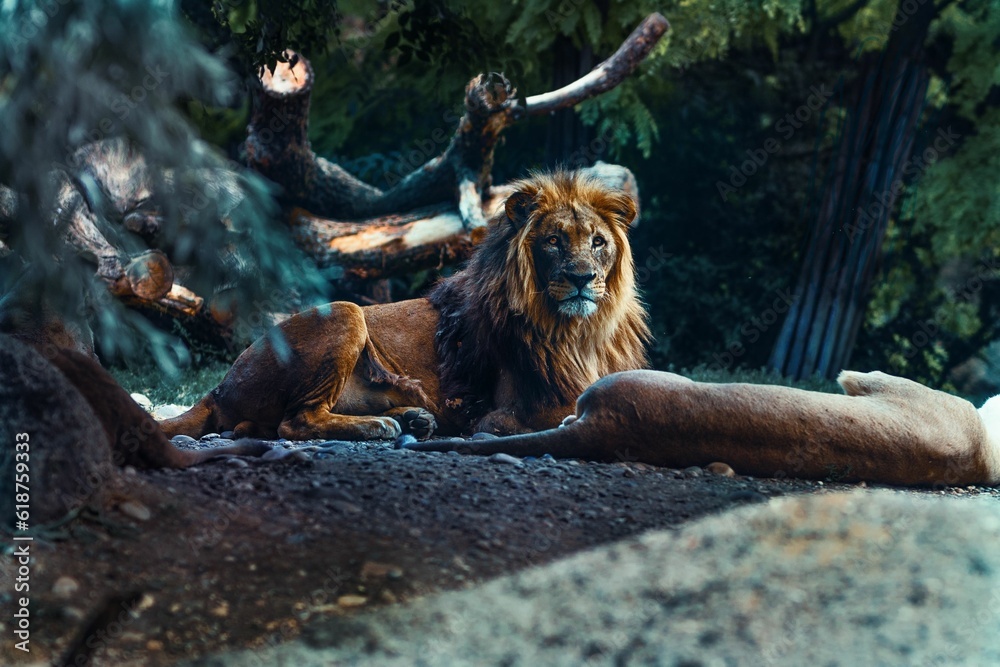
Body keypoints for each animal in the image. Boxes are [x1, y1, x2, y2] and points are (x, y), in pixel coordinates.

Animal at [158, 171, 651, 441]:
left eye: (598, 242)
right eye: (553, 241)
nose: (582, 278)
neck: (578, 332)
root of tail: (219, 386)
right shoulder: (505, 408)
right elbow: (570, 404)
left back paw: (413, 419)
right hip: (345, 311)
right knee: (293, 423)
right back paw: (382, 426)